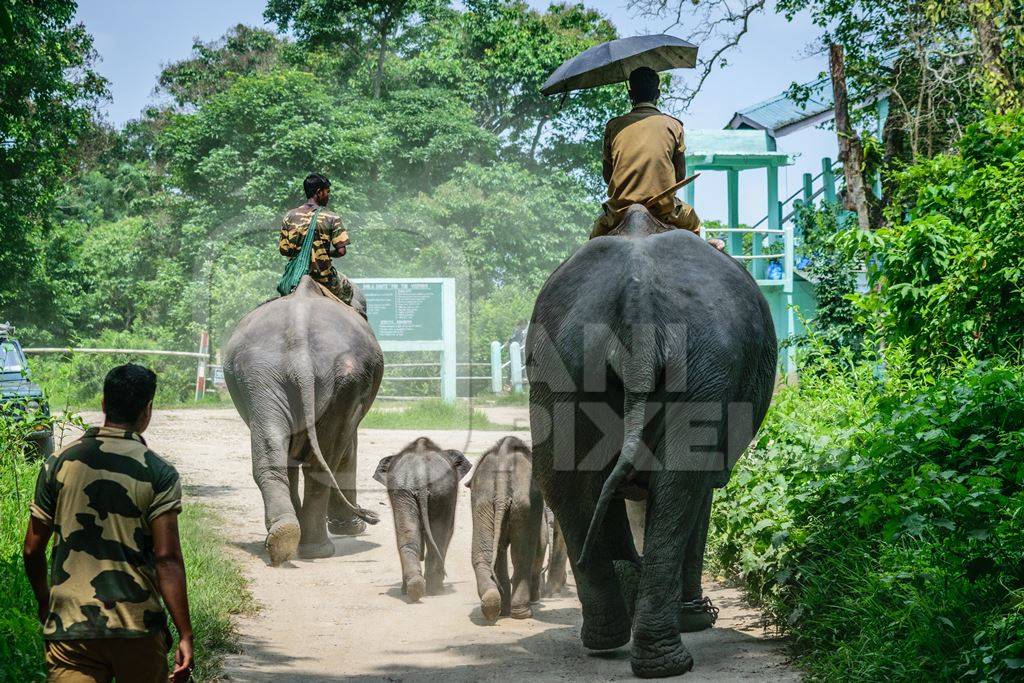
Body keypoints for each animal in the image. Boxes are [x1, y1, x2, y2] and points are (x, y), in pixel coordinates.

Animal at [224, 274, 385, 565]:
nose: (369, 516)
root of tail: (299, 341)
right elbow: (349, 447)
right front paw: (353, 528)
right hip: (341, 380)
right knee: (327, 457)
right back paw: (316, 549)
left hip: (262, 375)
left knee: (273, 449)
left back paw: (284, 537)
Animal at [374, 436, 473, 602]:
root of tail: (420, 474)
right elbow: (448, 531)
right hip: (438, 491)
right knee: (440, 536)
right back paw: (434, 589)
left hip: (408, 491)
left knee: (409, 537)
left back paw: (415, 588)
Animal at [466, 436, 544, 622]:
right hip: (524, 504)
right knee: (522, 555)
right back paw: (522, 613)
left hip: (483, 500)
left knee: (485, 553)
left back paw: (493, 605)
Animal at [528, 204, 774, 679]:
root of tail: (637, 312)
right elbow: (700, 491)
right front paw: (697, 617)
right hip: (703, 366)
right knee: (682, 486)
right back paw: (669, 655)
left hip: (563, 366)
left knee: (566, 483)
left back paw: (611, 637)